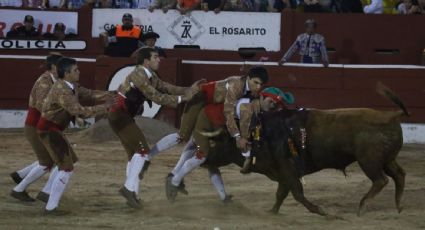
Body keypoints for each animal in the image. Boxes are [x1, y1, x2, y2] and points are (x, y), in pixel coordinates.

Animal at [202, 83, 408, 217]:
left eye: (214, 143)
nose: (203, 161)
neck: (260, 134)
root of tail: (390, 116)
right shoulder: (282, 172)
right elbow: (281, 193)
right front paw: (272, 211)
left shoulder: (288, 170)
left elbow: (297, 194)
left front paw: (322, 211)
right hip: (387, 159)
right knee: (399, 174)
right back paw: (398, 205)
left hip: (369, 160)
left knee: (381, 180)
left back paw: (363, 206)